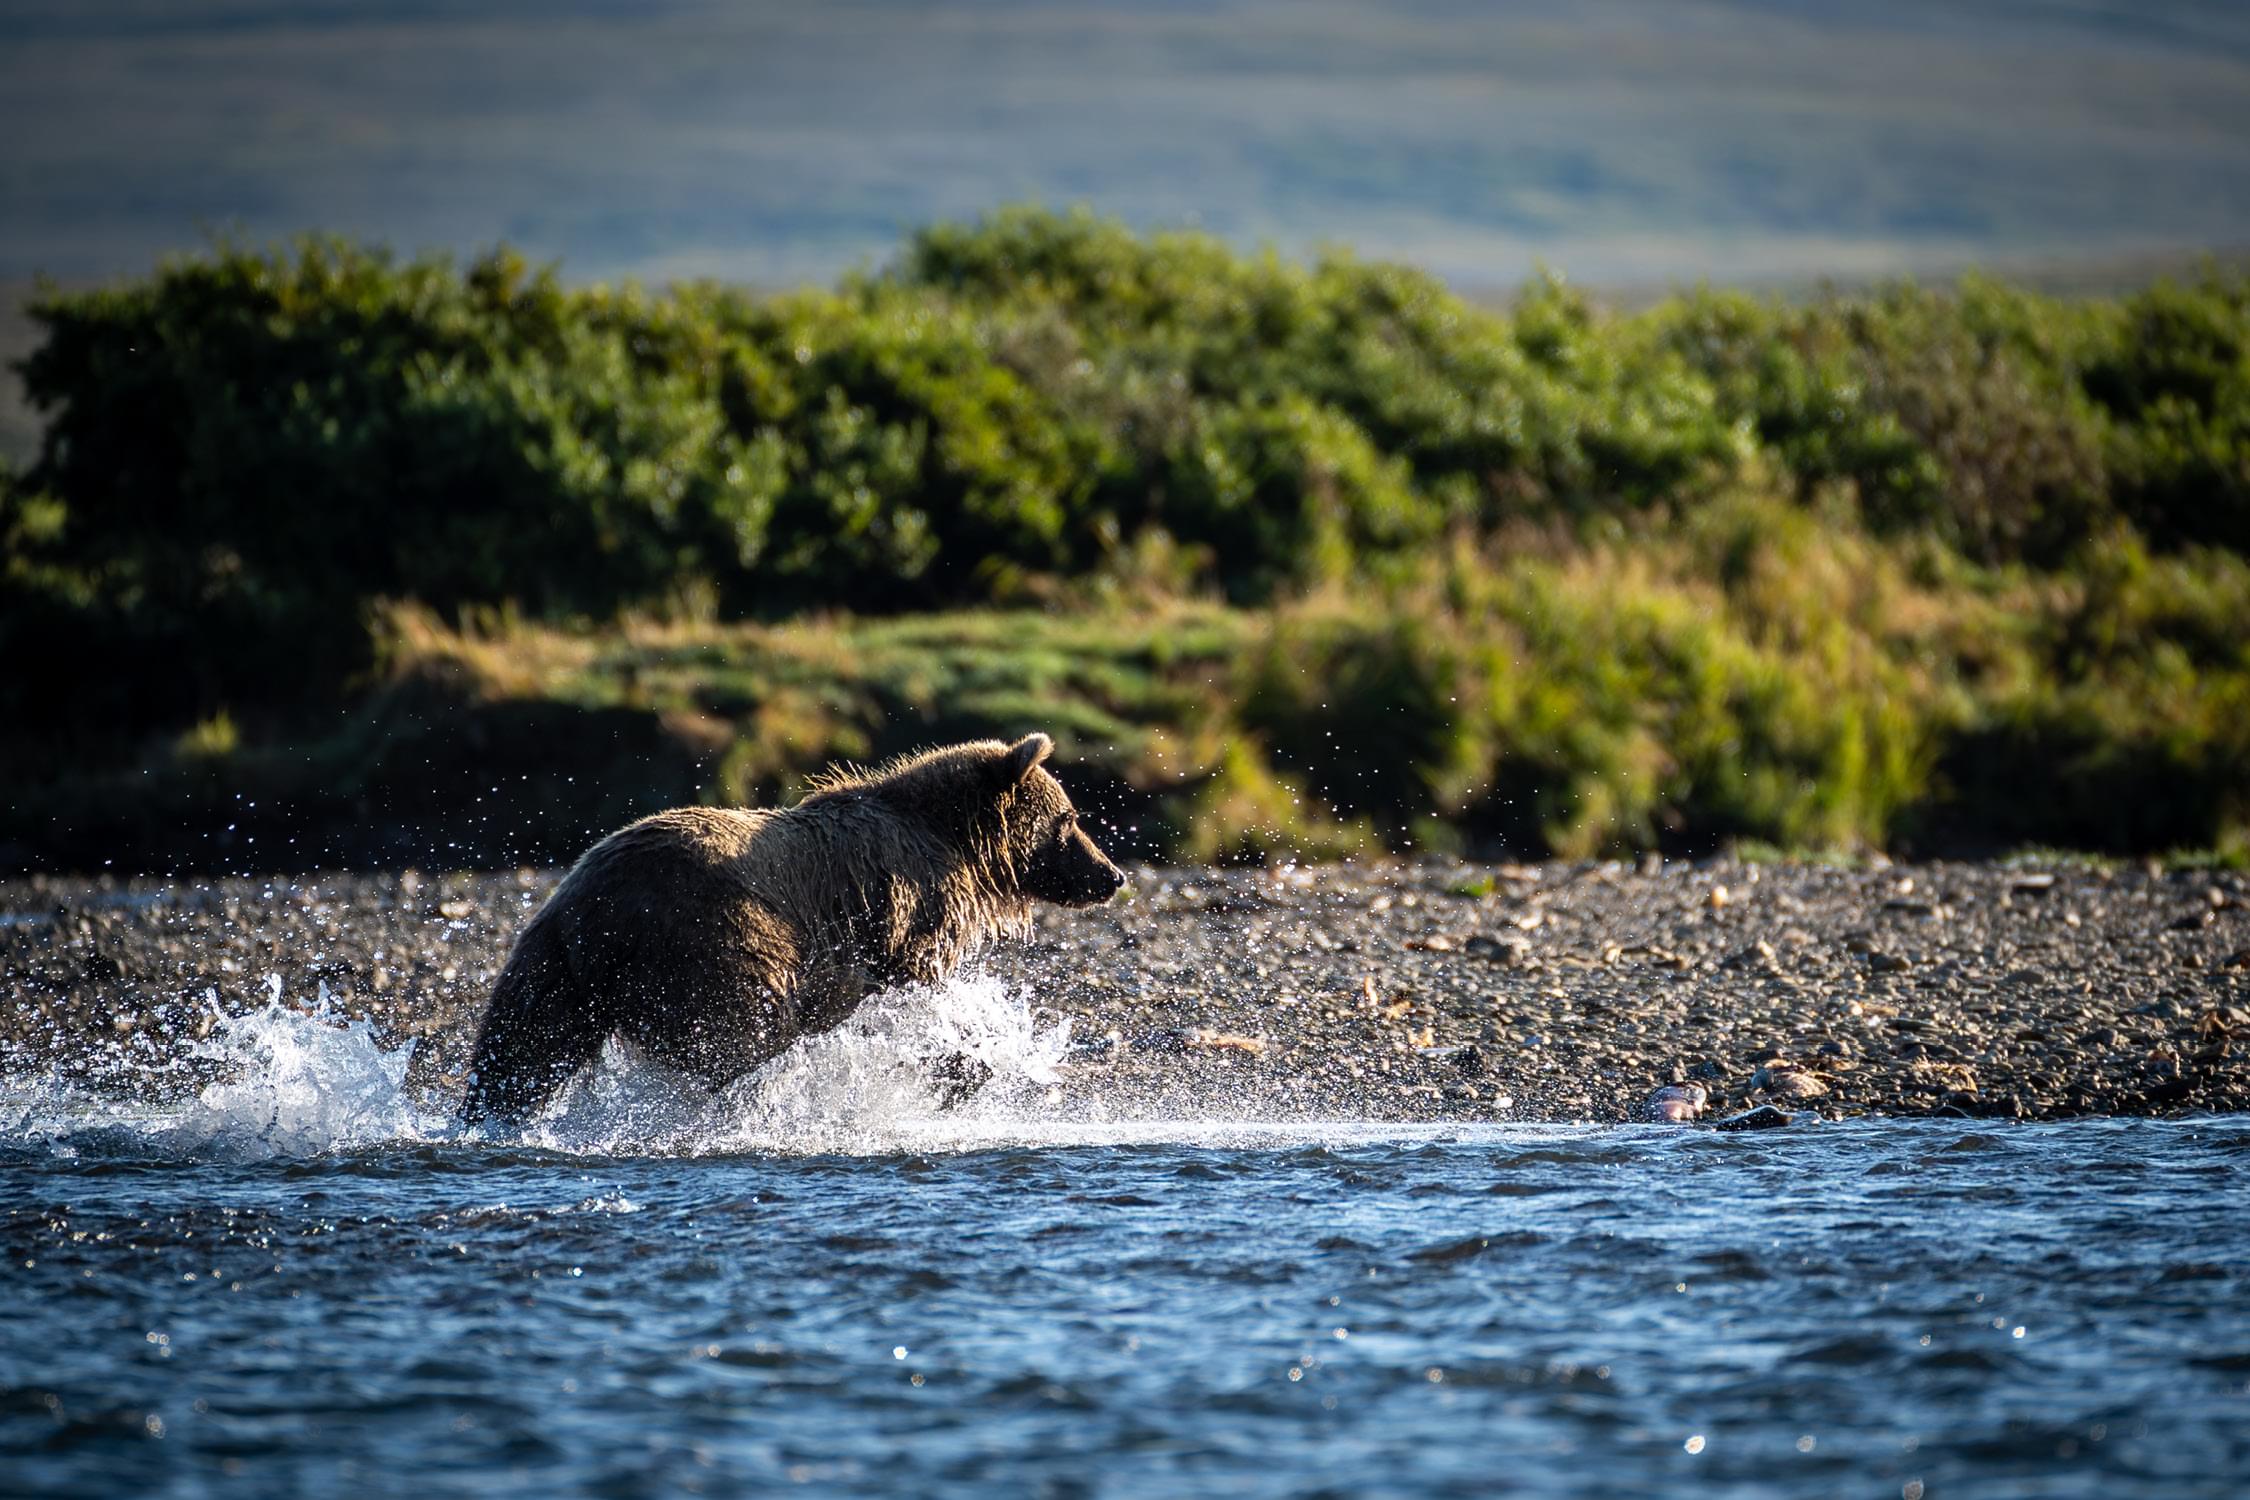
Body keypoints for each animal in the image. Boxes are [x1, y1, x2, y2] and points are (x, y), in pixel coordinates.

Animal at [458, 733, 1124, 1124]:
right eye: (1071, 819)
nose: (1112, 875)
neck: (956, 843)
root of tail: (593, 908)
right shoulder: (903, 916)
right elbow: (915, 996)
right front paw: (962, 1067)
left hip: (551, 960)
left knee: (521, 1046)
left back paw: (486, 1116)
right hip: (713, 937)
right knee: (737, 1032)